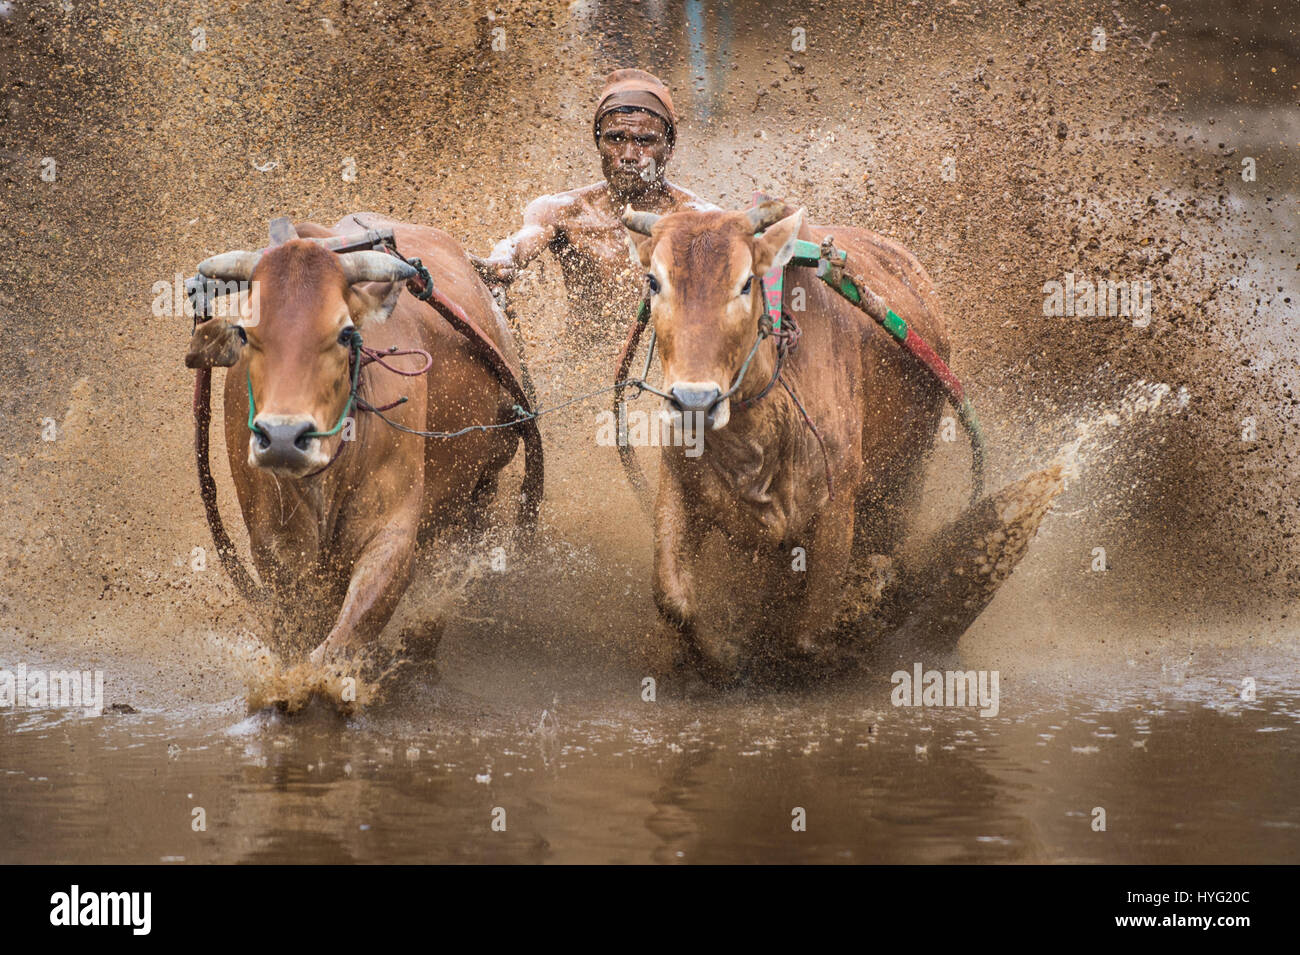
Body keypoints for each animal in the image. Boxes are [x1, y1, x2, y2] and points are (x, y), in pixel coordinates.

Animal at [189, 214, 522, 670]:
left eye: (346, 333)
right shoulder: (274, 548)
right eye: (244, 332)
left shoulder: (392, 535)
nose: (282, 439)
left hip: (486, 478)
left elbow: (342, 639)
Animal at [624, 203, 951, 680]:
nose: (694, 403)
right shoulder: (679, 483)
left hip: (908, 478)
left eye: (745, 282)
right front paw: (722, 655)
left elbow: (808, 635)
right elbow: (672, 599)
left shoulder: (837, 504)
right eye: (654, 281)